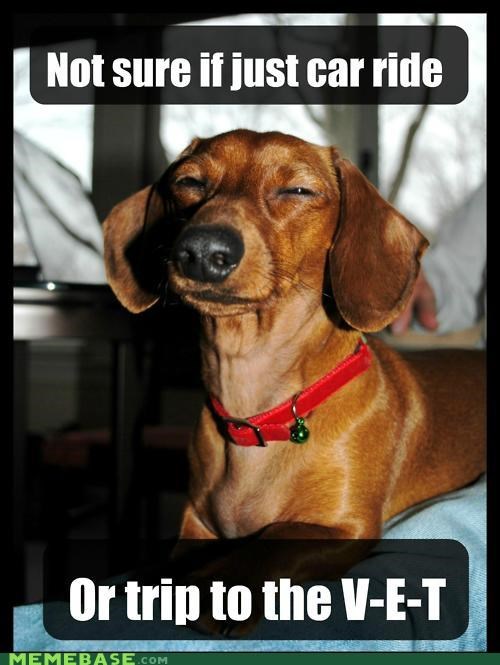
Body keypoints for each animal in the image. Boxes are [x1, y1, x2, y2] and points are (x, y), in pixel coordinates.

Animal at [103, 128, 485, 553]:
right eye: (189, 182)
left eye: (298, 190)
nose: (202, 251)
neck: (258, 415)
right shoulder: (196, 523)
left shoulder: (340, 530)